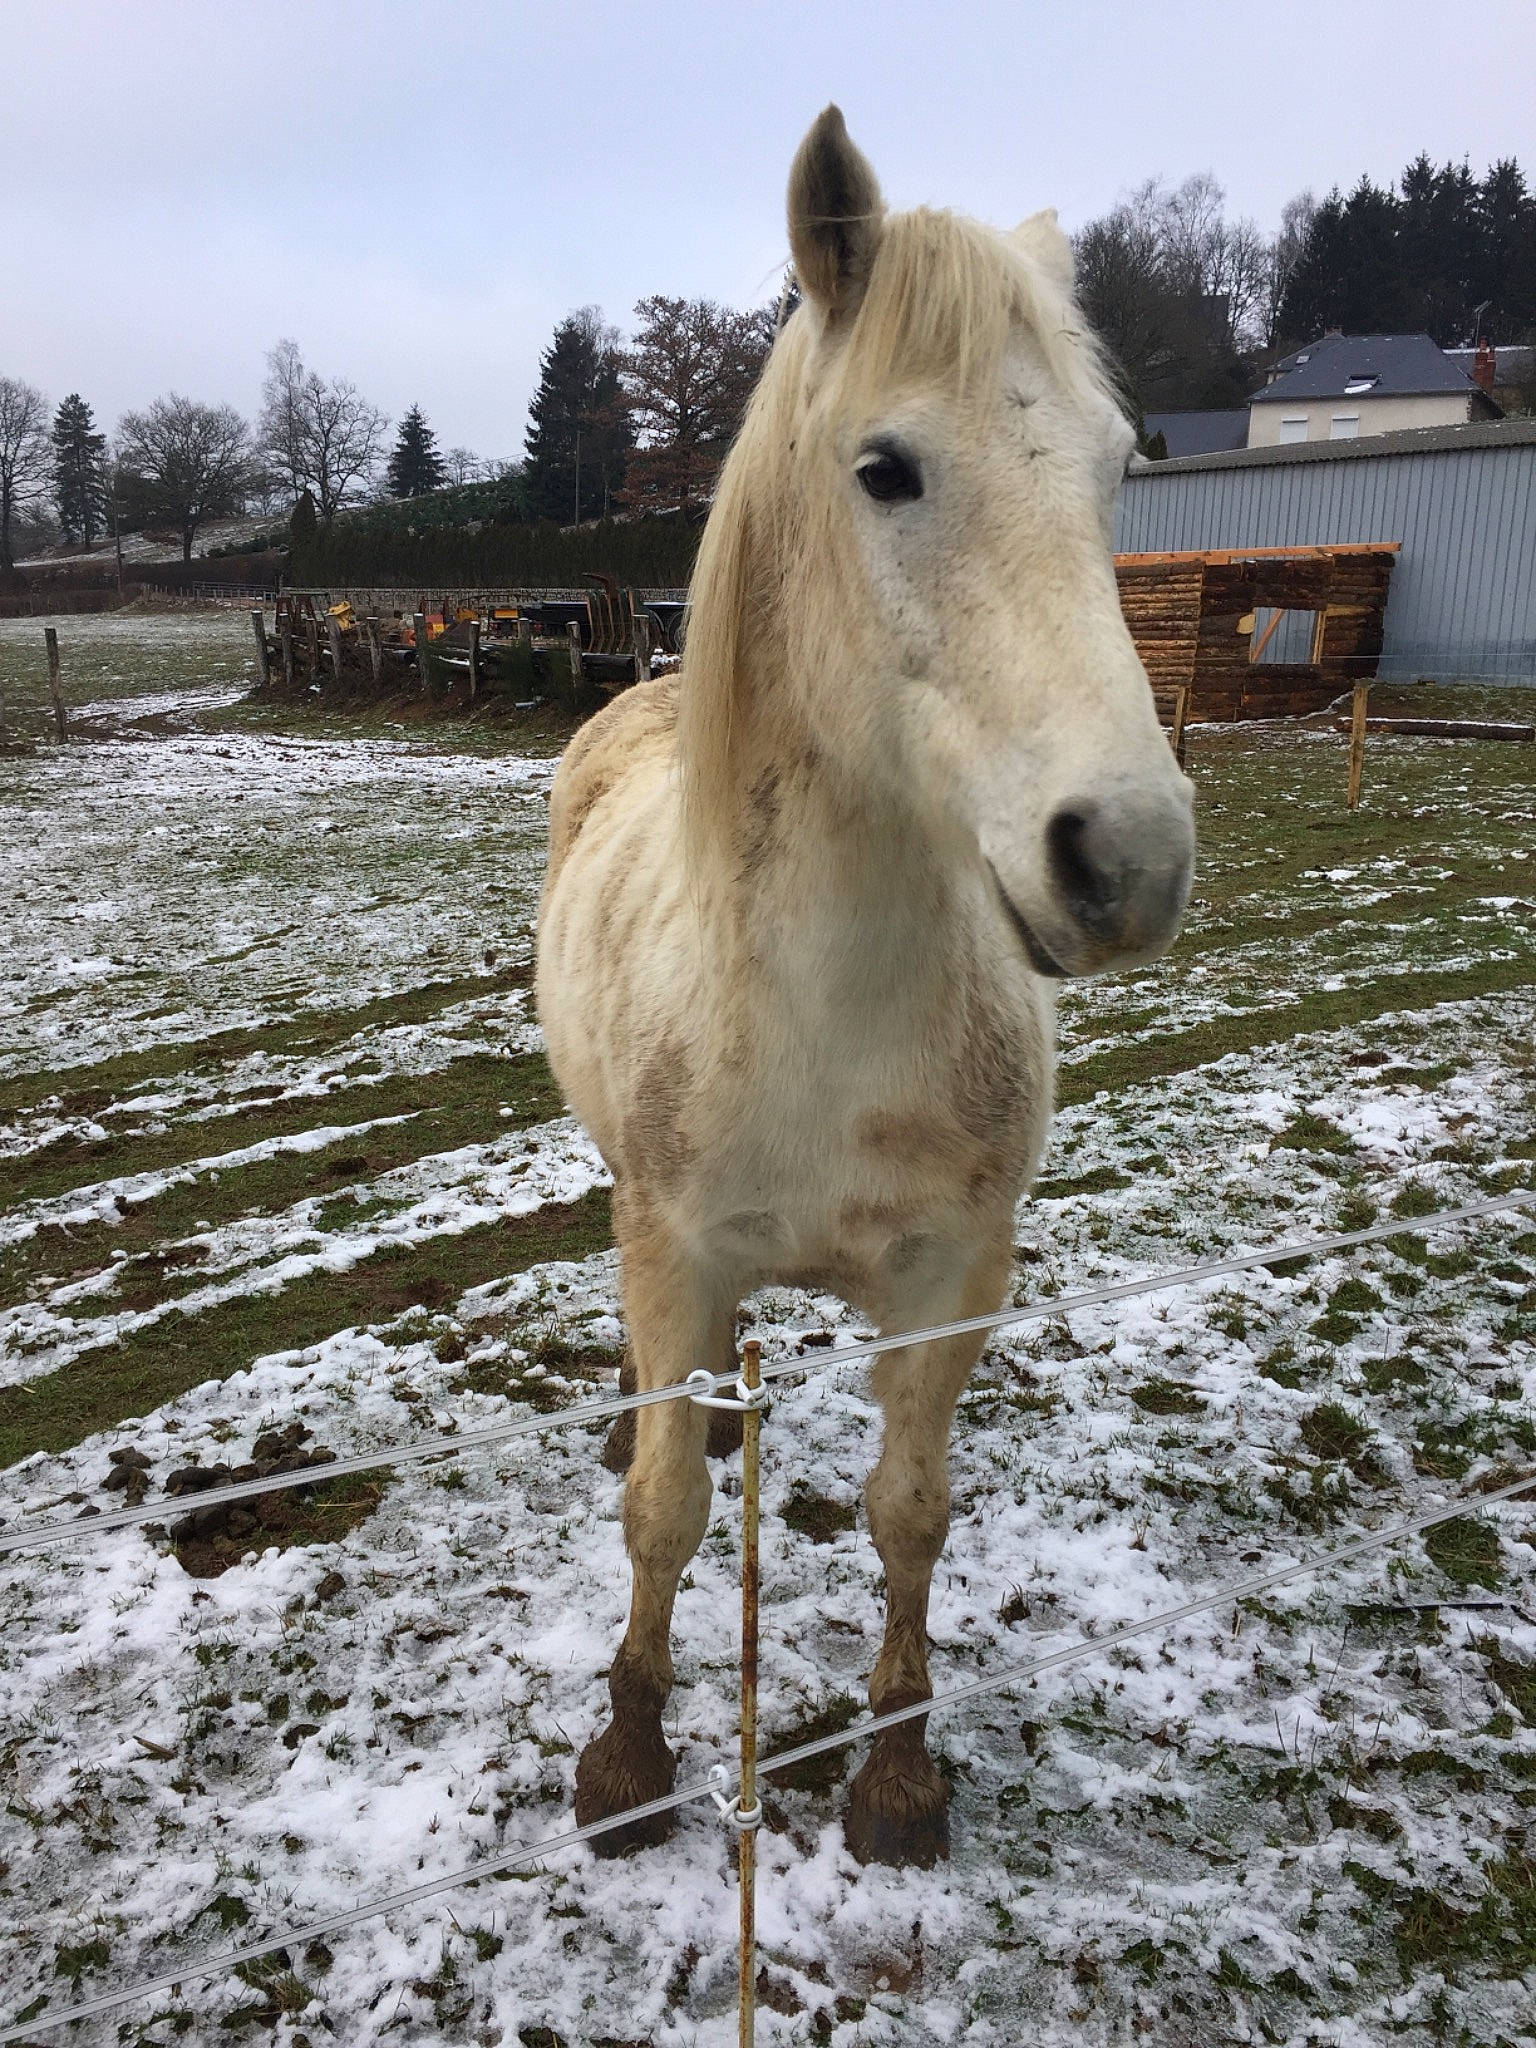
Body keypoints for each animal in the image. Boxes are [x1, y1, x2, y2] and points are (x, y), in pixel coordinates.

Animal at [535, 105, 1195, 1868]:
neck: (818, 1017)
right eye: (885, 468)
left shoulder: (955, 1275)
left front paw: (898, 1773)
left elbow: (910, 1512)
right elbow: (664, 1510)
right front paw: (628, 1757)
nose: (1128, 857)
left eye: (1118, 468)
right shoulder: (674, 1249)